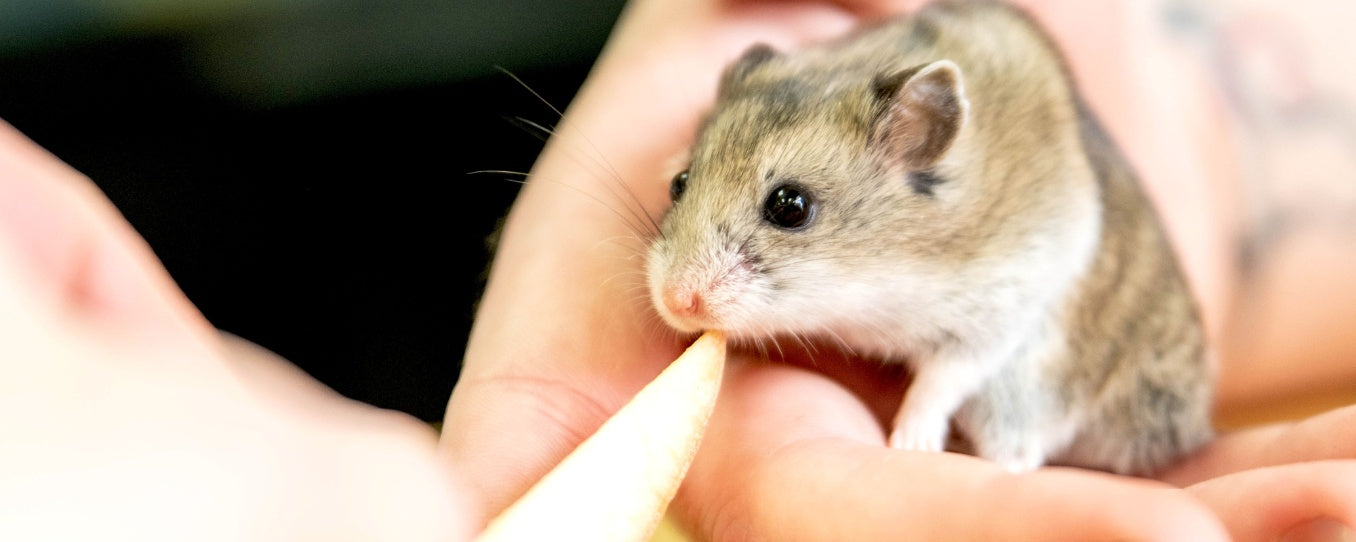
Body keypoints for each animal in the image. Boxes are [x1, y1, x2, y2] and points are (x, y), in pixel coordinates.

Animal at [645, 0, 1213, 475]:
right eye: (679, 183)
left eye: (791, 206)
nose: (675, 302)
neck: (881, 274)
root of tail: (1195, 430)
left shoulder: (998, 307)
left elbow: (941, 379)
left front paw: (910, 445)